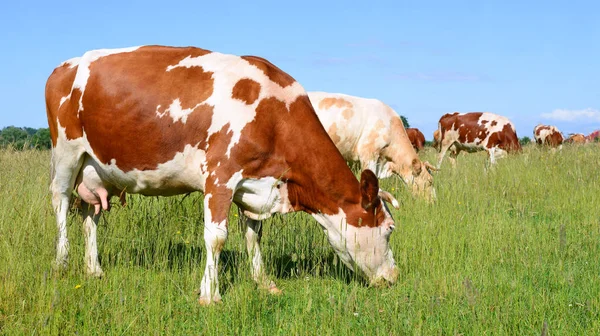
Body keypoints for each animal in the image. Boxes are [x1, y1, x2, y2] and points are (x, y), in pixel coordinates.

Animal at [45, 46, 398, 306]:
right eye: (389, 229)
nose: (394, 277)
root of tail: (65, 65)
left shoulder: (255, 185)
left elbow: (254, 235)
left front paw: (263, 283)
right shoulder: (220, 176)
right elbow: (216, 238)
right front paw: (210, 294)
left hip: (96, 169)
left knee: (90, 215)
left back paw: (93, 269)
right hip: (65, 154)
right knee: (60, 203)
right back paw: (61, 263)